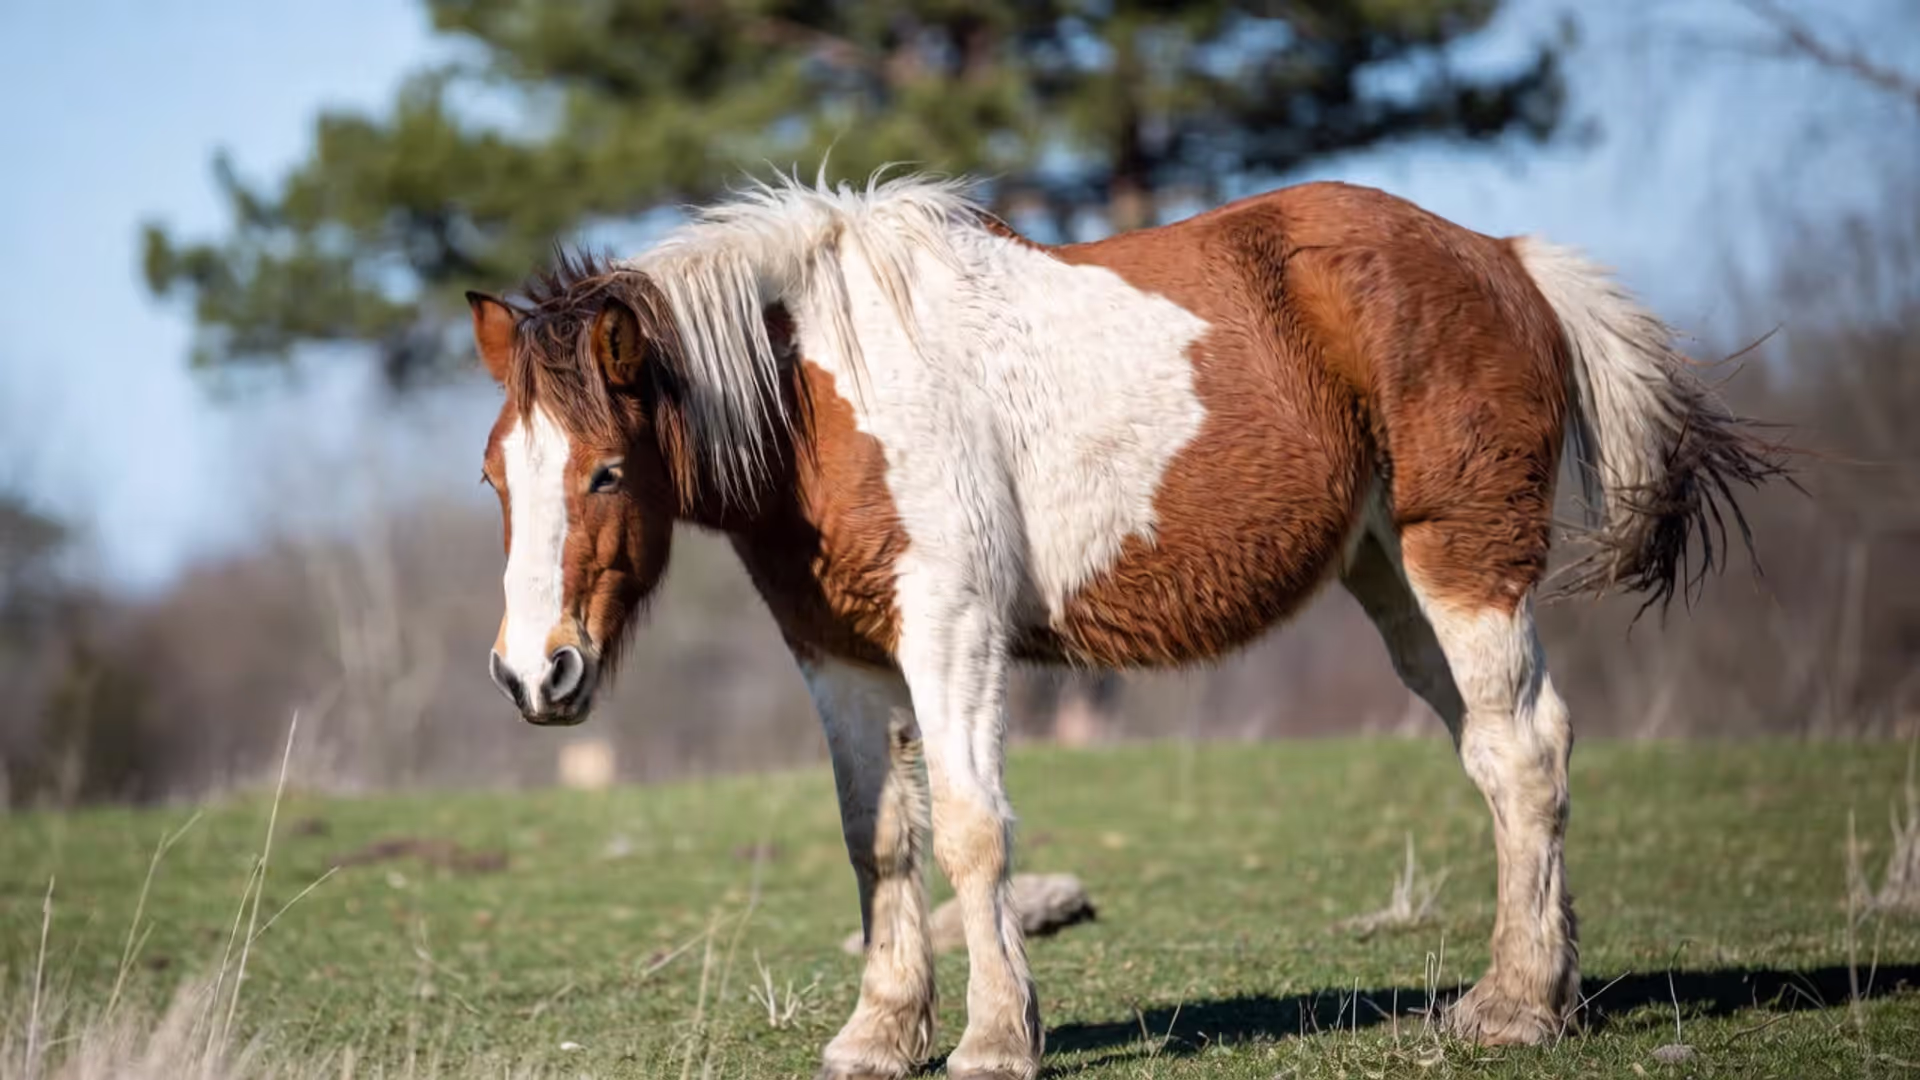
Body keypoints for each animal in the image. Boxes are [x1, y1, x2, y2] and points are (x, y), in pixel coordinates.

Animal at [465, 171, 1787, 1080]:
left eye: (604, 473)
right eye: (495, 478)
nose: (535, 675)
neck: (826, 394)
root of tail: (1502, 257)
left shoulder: (952, 635)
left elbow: (970, 834)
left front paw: (997, 1039)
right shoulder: (838, 657)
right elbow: (876, 839)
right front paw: (881, 1033)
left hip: (1465, 567)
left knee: (1524, 752)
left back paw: (1513, 1009)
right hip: (1397, 587)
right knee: (1502, 761)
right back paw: (1539, 992)